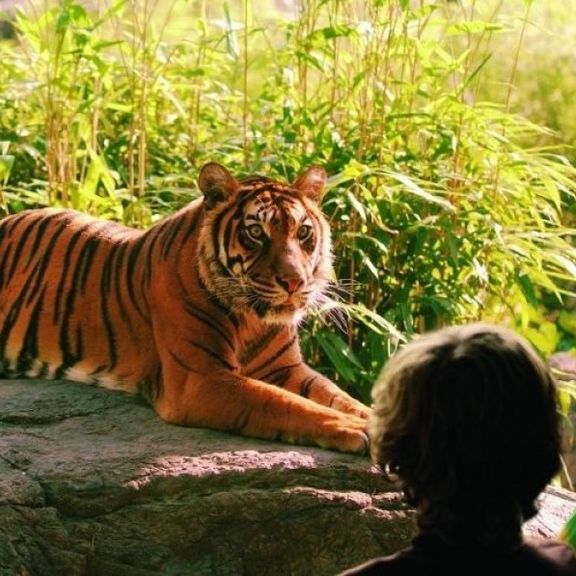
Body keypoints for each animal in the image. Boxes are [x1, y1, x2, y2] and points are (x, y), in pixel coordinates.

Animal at [0, 162, 368, 454]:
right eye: (255, 232)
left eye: (303, 232)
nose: (294, 281)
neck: (253, 320)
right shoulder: (201, 380)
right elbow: (285, 403)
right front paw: (356, 429)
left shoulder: (285, 368)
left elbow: (337, 396)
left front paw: (366, 417)